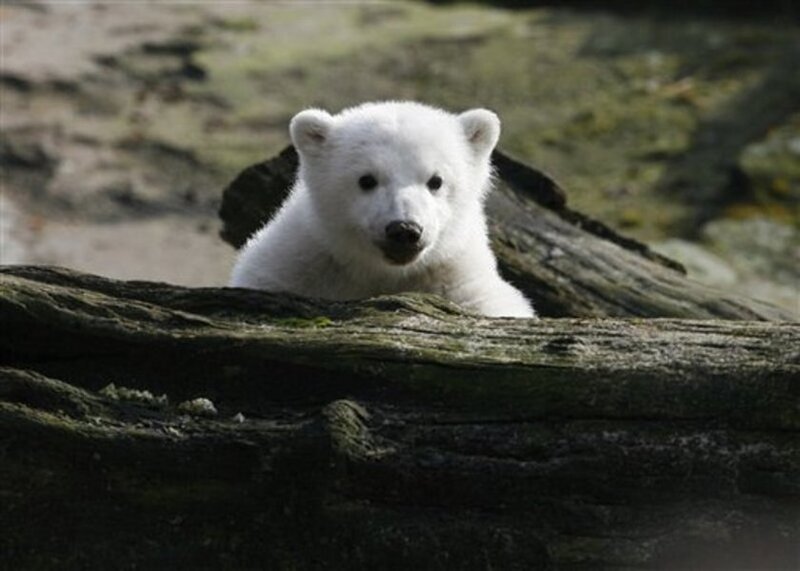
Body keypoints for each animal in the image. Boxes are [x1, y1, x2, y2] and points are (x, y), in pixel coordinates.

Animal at [229, 101, 535, 318]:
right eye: (367, 180)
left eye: (436, 180)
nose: (404, 230)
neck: (381, 273)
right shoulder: (296, 265)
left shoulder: (456, 279)